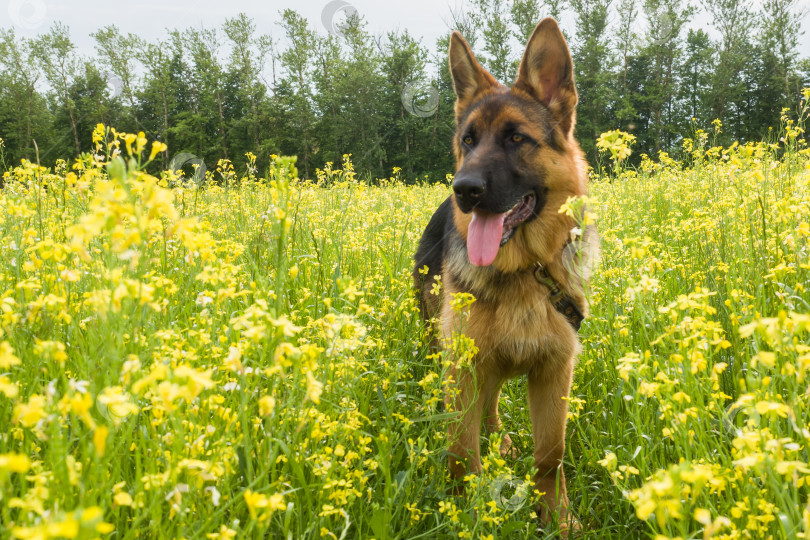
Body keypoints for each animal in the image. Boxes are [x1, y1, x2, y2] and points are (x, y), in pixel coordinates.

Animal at [414, 17, 596, 532]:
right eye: (468, 140)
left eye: (517, 138)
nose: (464, 191)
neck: (523, 271)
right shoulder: (464, 367)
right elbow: (460, 451)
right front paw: (467, 514)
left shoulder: (554, 371)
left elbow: (551, 454)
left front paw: (557, 519)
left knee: (493, 407)